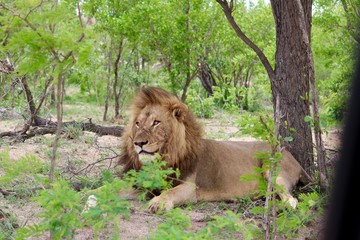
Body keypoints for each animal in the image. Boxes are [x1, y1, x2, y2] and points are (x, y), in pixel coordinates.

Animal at [116, 86, 310, 212]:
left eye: (156, 122)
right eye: (137, 124)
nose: (138, 143)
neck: (166, 156)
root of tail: (292, 156)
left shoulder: (189, 187)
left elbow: (169, 192)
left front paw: (158, 203)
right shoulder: (142, 184)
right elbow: (114, 188)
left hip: (273, 169)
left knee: (291, 198)